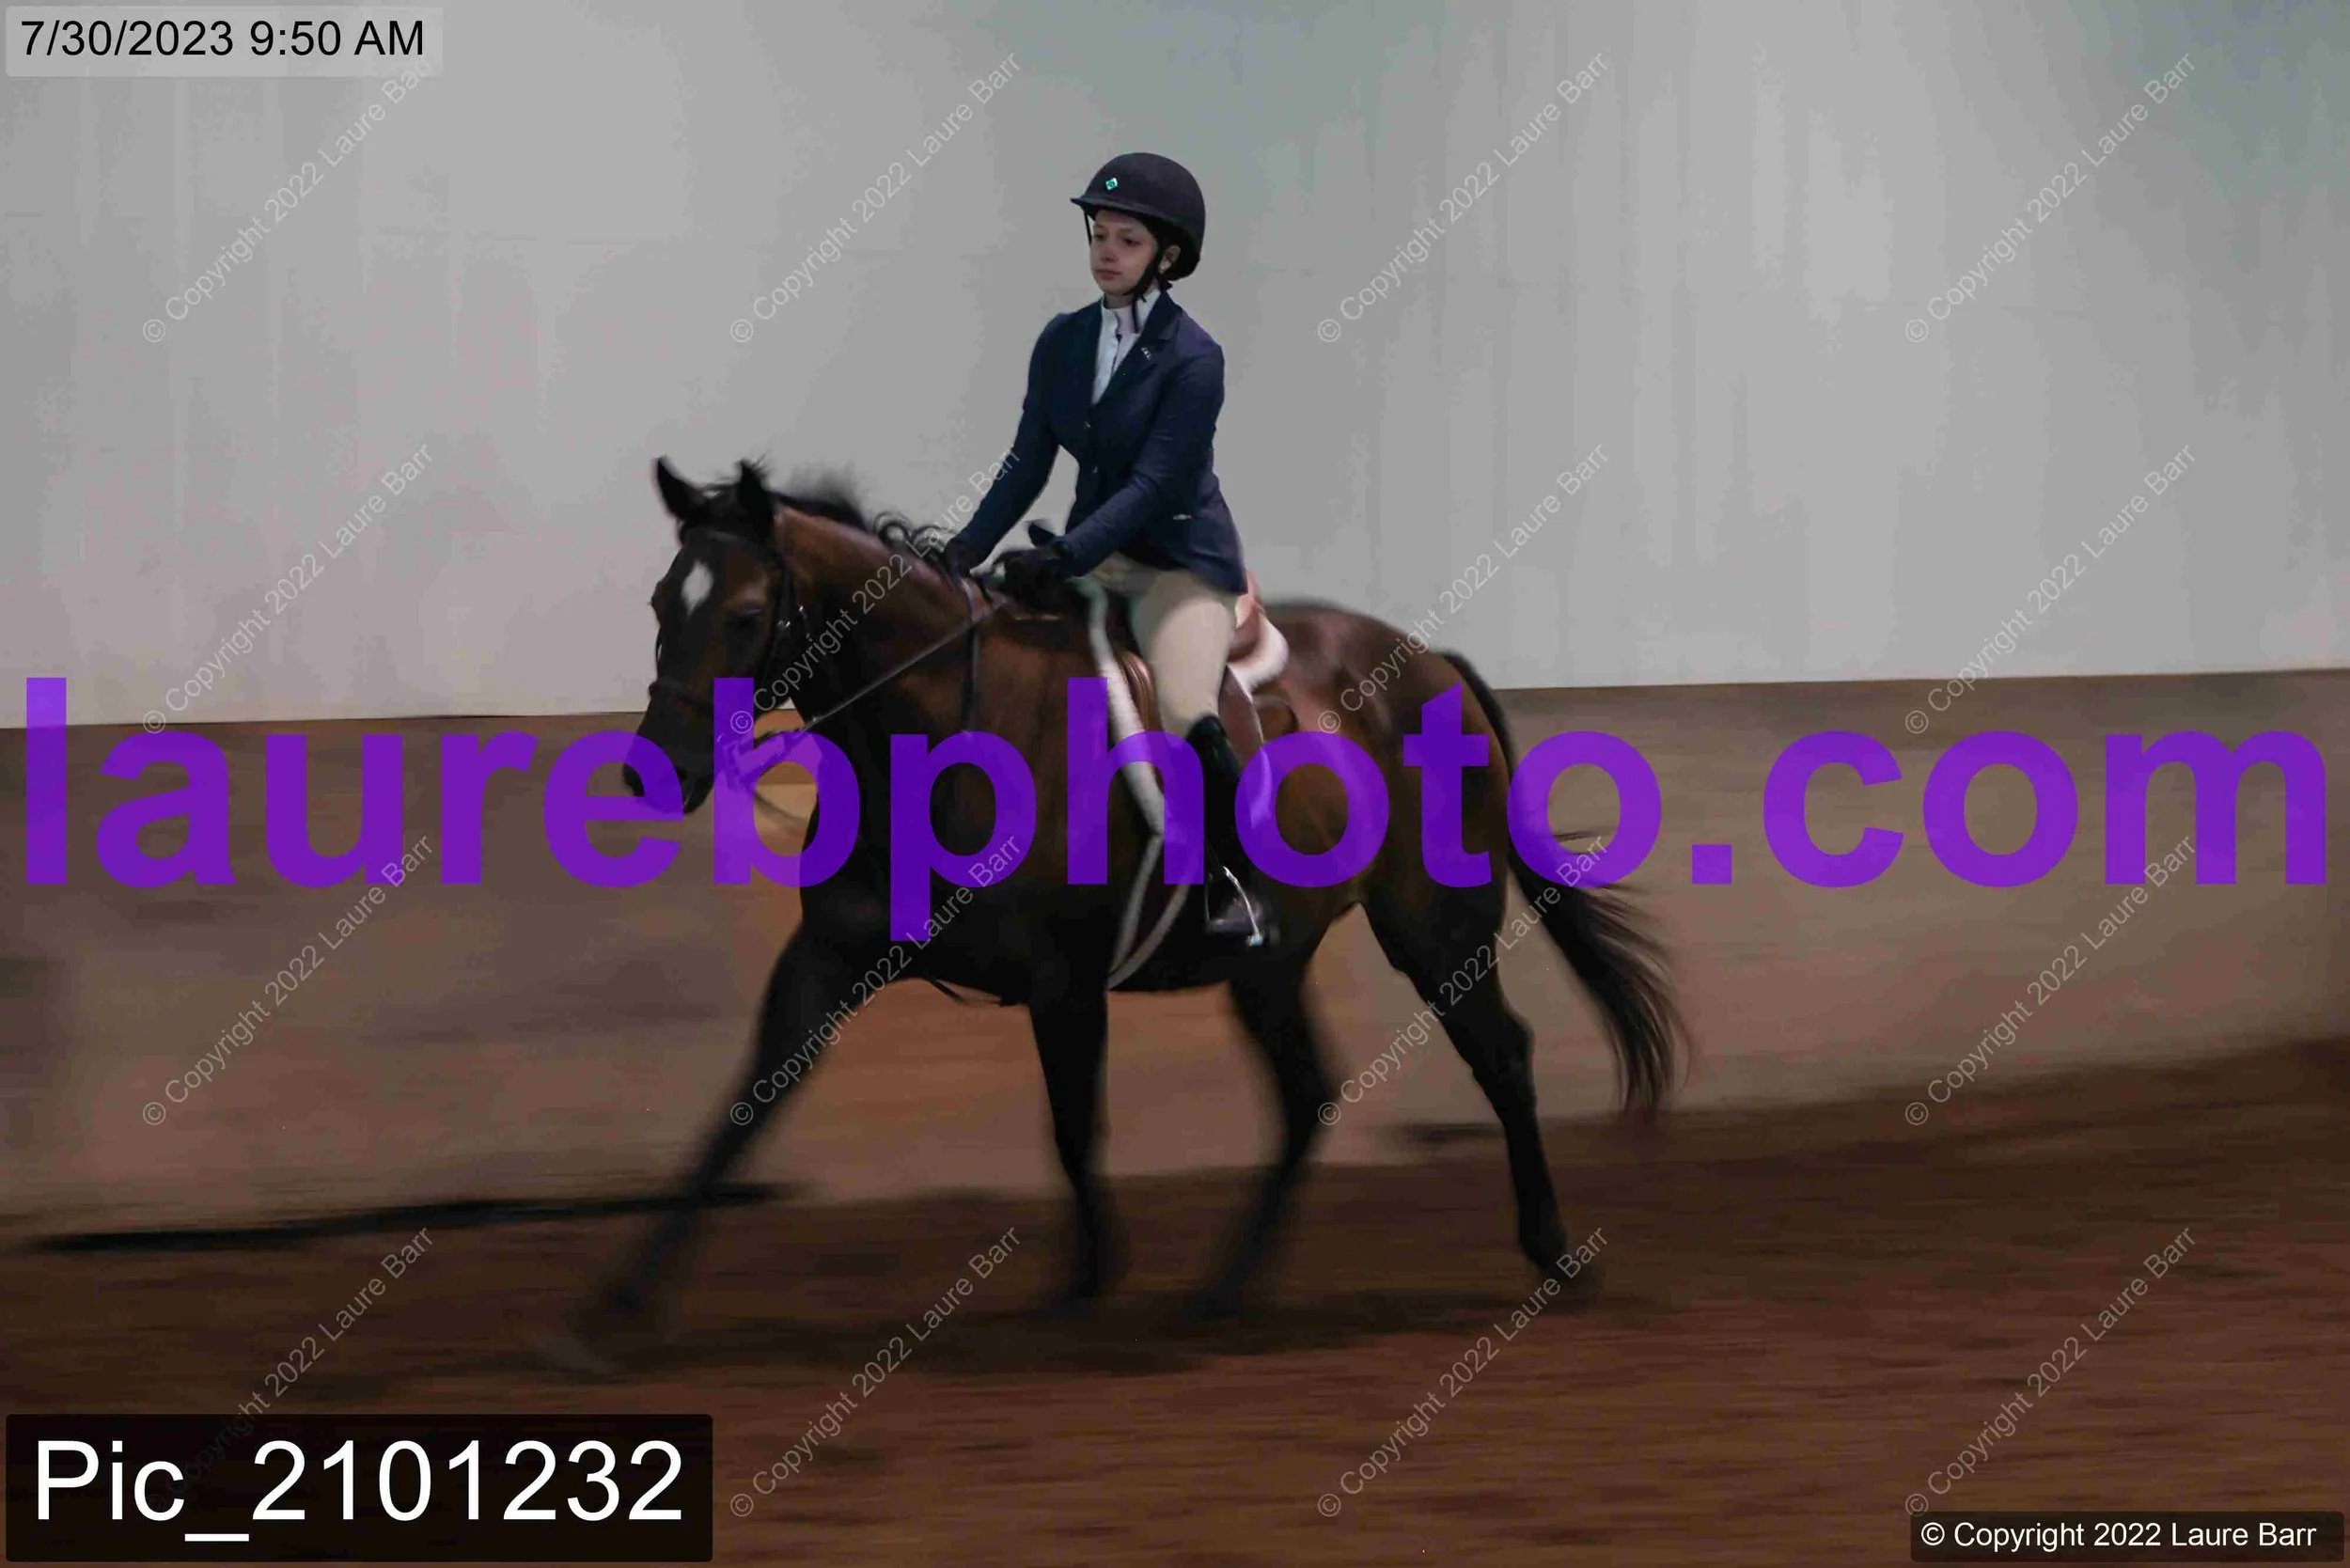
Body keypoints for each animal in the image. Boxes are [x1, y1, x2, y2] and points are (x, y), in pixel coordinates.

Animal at [556, 456, 1685, 1362]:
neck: (935, 733)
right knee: (1306, 1093)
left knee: (1499, 1054)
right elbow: (747, 1107)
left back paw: (1551, 1252)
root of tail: (1431, 661)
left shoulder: (1066, 982)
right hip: (1273, 960)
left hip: (1433, 926)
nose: (654, 773)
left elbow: (1071, 1126)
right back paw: (1225, 1289)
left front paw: (1088, 1284)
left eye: (746, 614)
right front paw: (617, 1306)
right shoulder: (829, 956)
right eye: (662, 601)